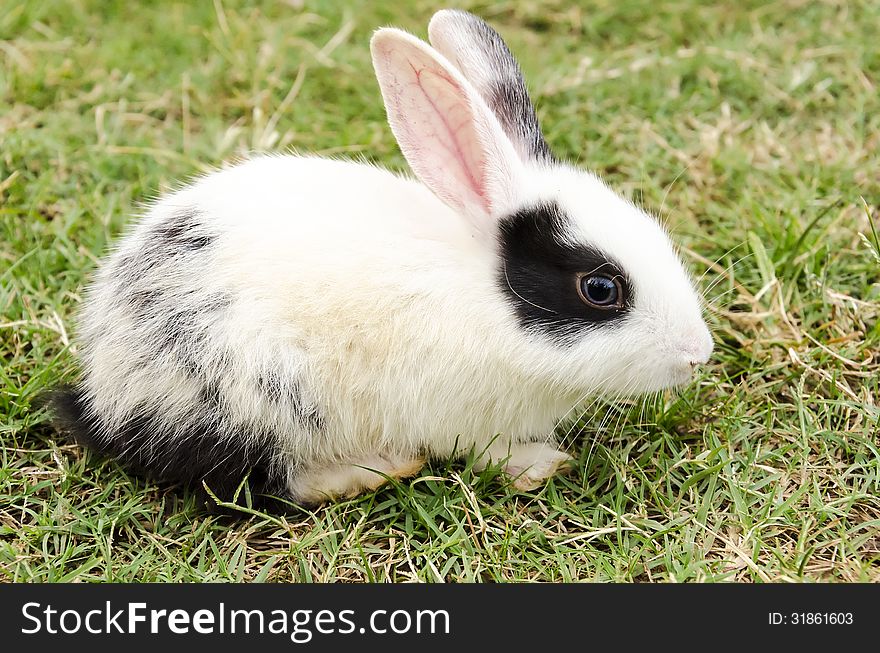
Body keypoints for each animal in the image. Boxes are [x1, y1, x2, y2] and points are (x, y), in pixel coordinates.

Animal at [49, 11, 716, 510]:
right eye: (601, 289)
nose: (698, 354)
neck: (488, 302)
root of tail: (104, 395)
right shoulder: (468, 416)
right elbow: (492, 452)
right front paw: (541, 465)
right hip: (252, 400)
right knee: (260, 483)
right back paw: (372, 470)